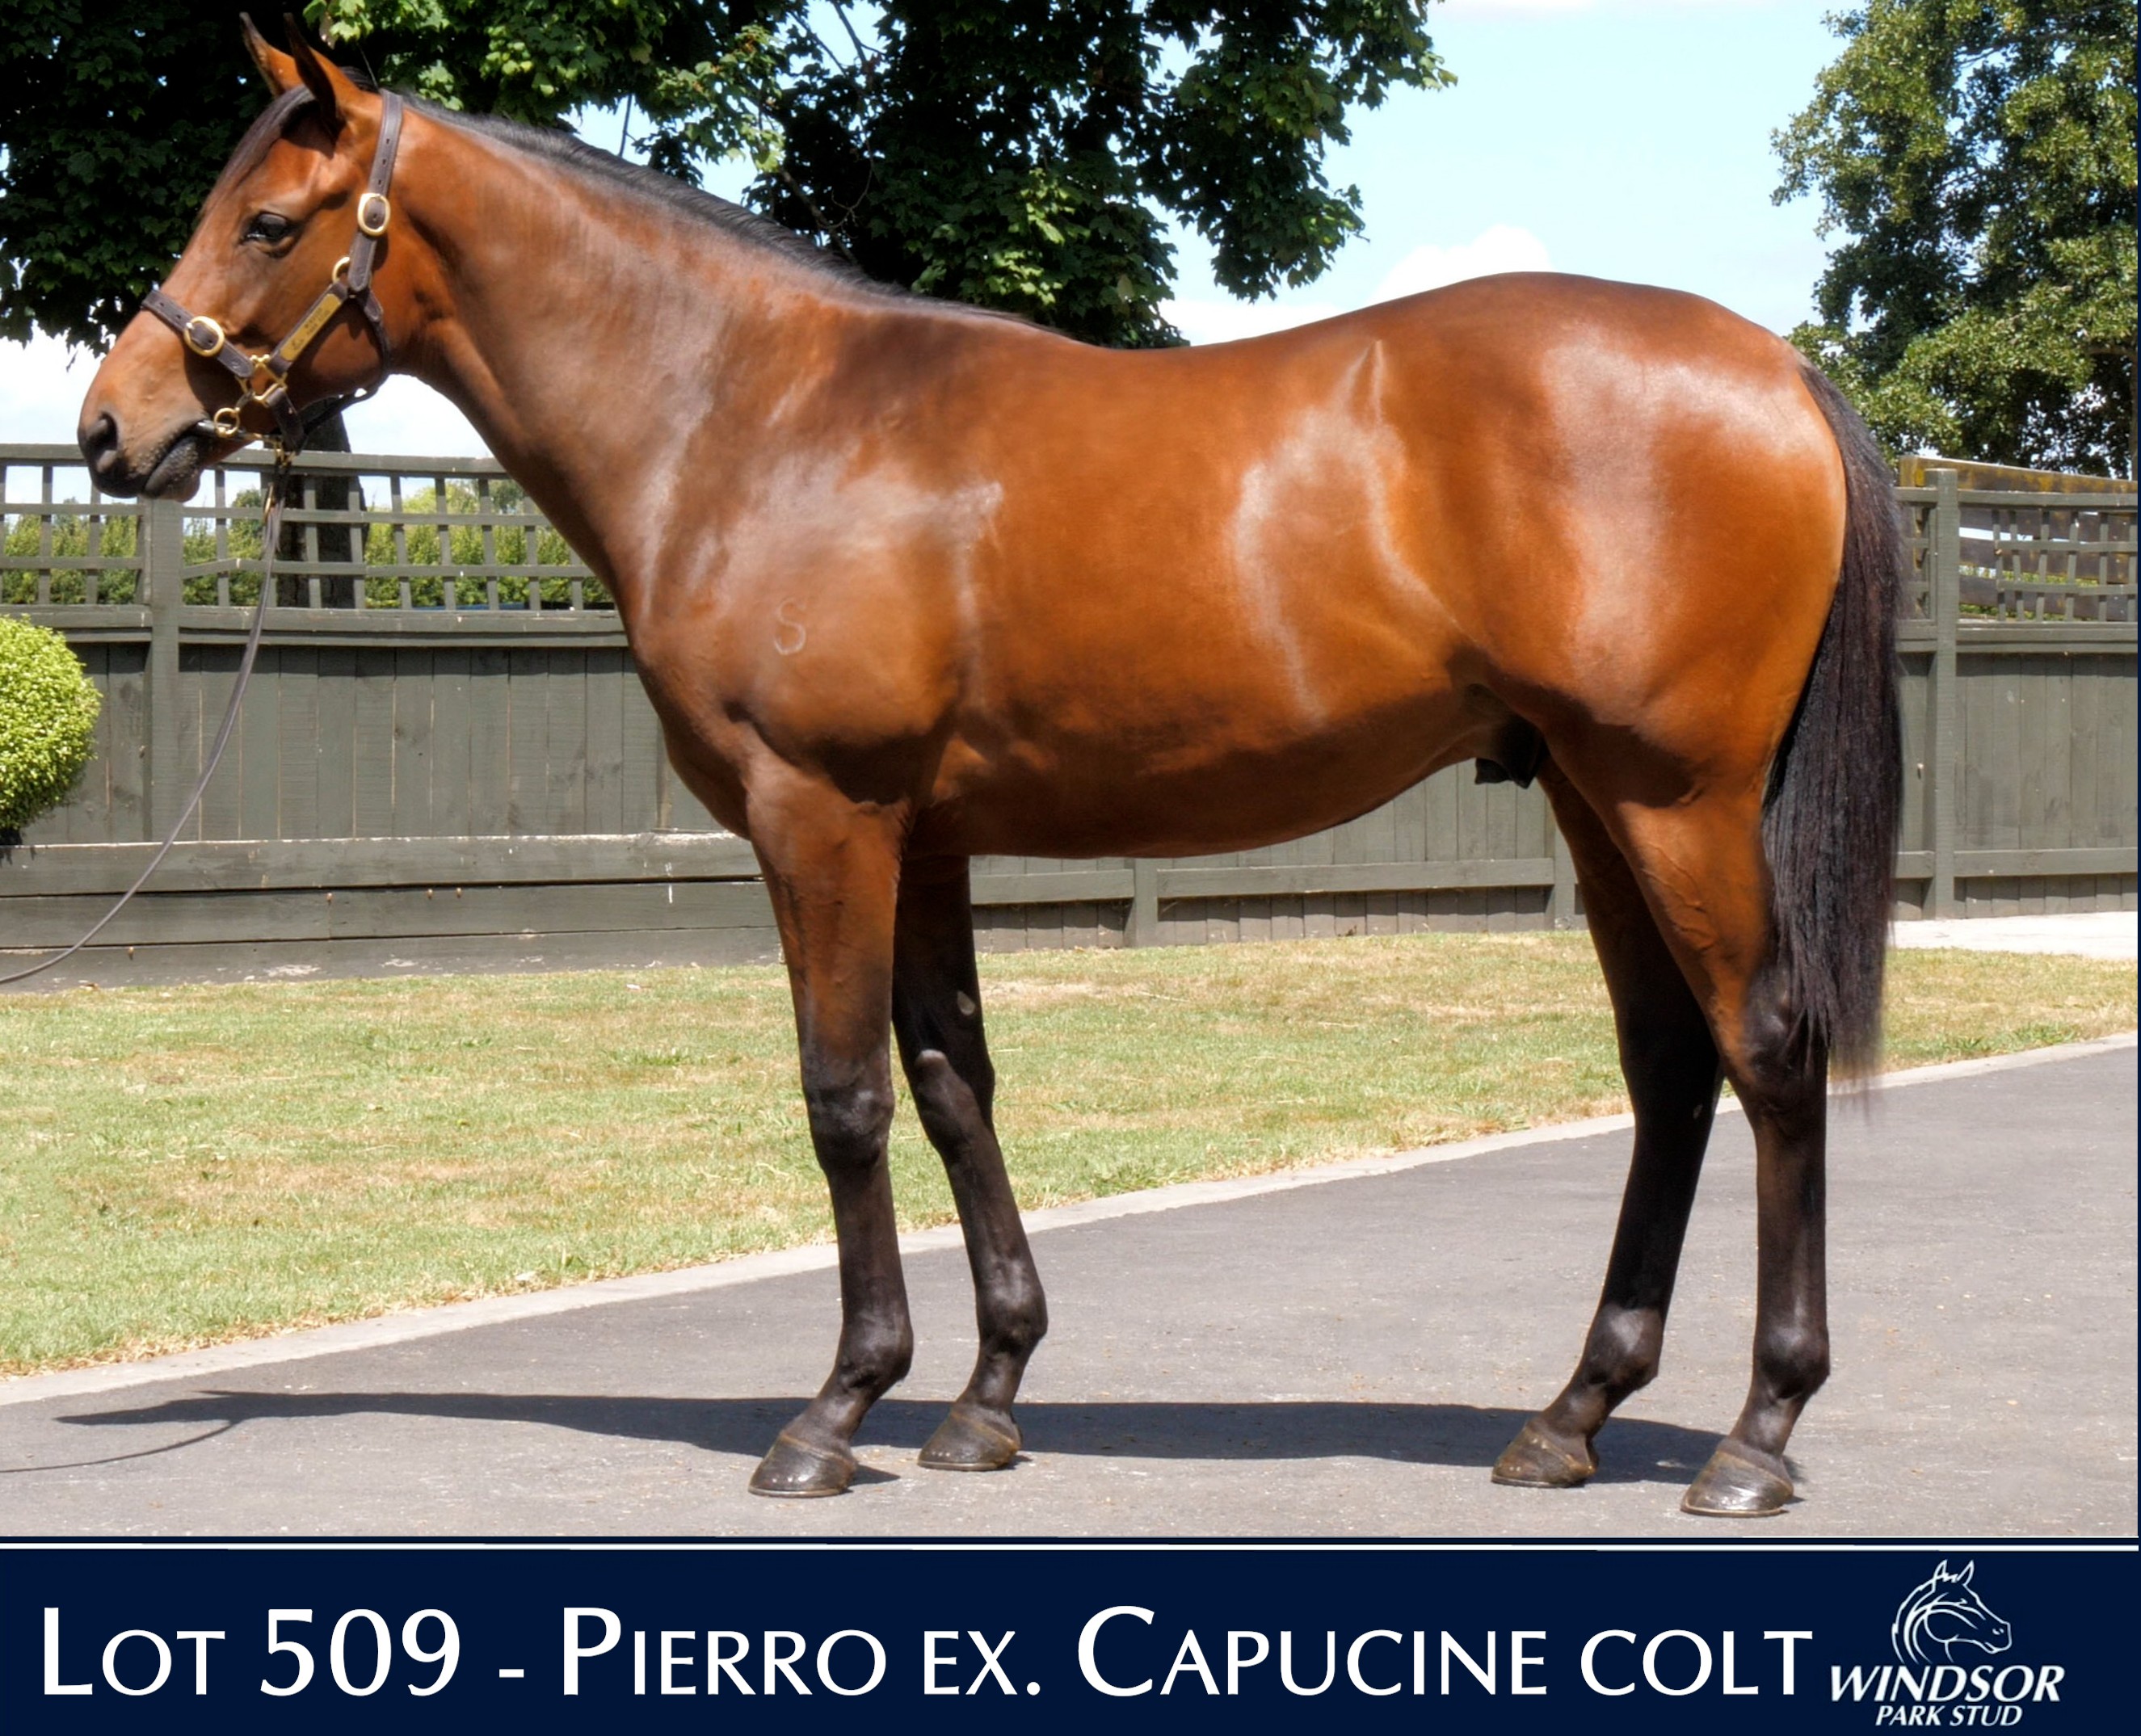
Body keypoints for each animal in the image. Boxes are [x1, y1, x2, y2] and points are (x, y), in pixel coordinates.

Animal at [78, 25, 1903, 1518]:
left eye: (265, 224)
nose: (110, 426)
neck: (749, 413)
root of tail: (1775, 367)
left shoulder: (822, 817)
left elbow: (843, 1097)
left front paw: (833, 1411)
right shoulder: (928, 834)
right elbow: (956, 1080)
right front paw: (984, 1395)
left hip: (1672, 799)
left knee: (1767, 1050)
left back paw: (1756, 1433)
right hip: (1597, 803)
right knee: (1669, 1070)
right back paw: (1570, 1414)